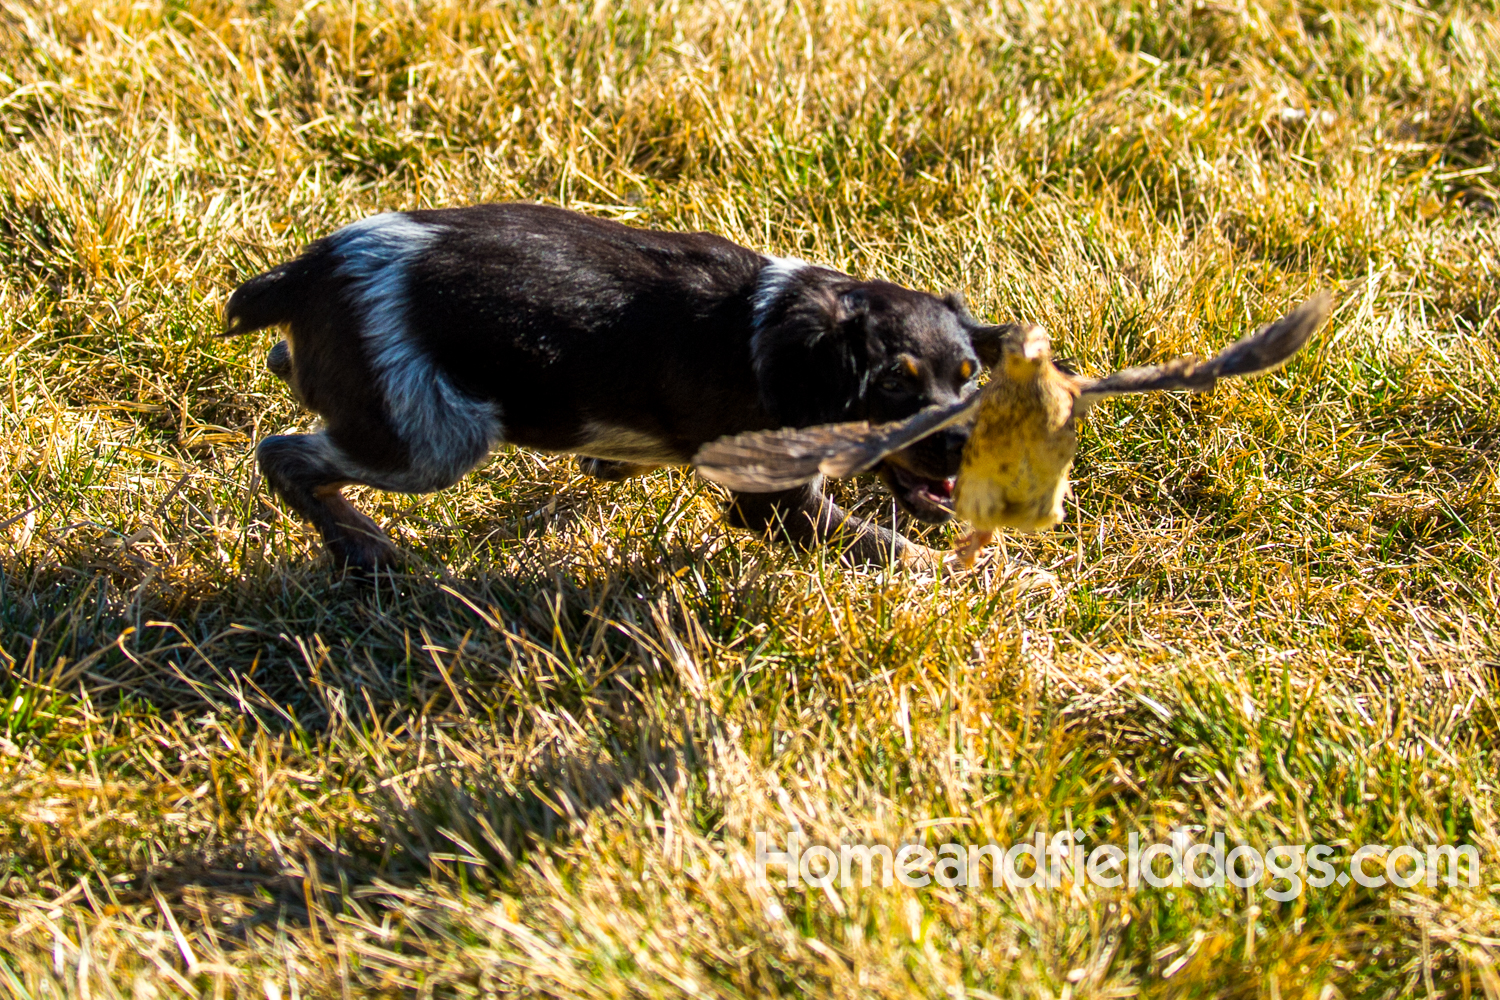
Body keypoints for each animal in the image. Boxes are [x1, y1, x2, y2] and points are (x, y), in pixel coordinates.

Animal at [225, 203, 1020, 569]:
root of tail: (305, 272)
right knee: (285, 456)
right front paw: (978, 576)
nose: (968, 449)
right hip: (433, 441)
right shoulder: (775, 504)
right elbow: (897, 551)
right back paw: (367, 547)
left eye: (969, 378)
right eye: (893, 385)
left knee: (292, 386)